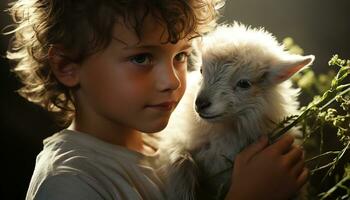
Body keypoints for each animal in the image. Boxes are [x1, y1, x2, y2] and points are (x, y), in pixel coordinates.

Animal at [156, 22, 314, 199]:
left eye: (244, 83)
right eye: (202, 70)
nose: (201, 103)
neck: (224, 130)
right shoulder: (174, 140)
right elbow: (180, 160)